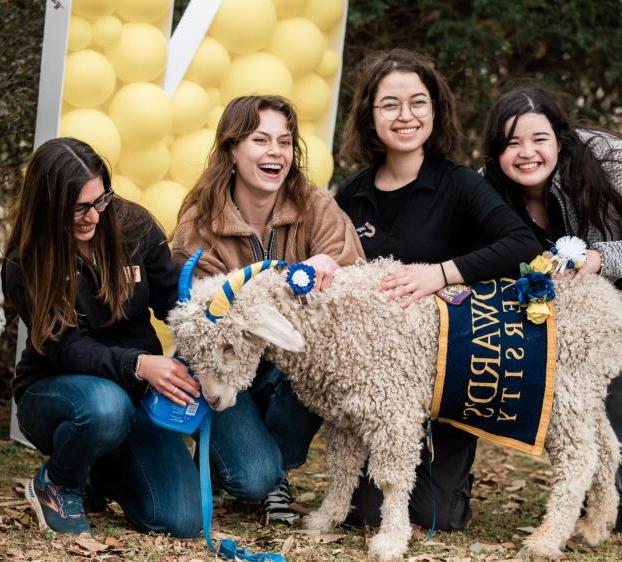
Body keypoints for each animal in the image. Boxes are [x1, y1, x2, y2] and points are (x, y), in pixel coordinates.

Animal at [168, 258, 622, 560]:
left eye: (230, 345)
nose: (214, 401)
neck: (332, 320)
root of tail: (609, 303)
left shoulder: (392, 405)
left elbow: (390, 479)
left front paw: (391, 538)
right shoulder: (347, 412)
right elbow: (342, 469)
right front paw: (325, 520)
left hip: (564, 393)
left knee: (579, 460)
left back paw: (547, 539)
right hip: (586, 393)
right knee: (607, 450)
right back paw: (594, 527)